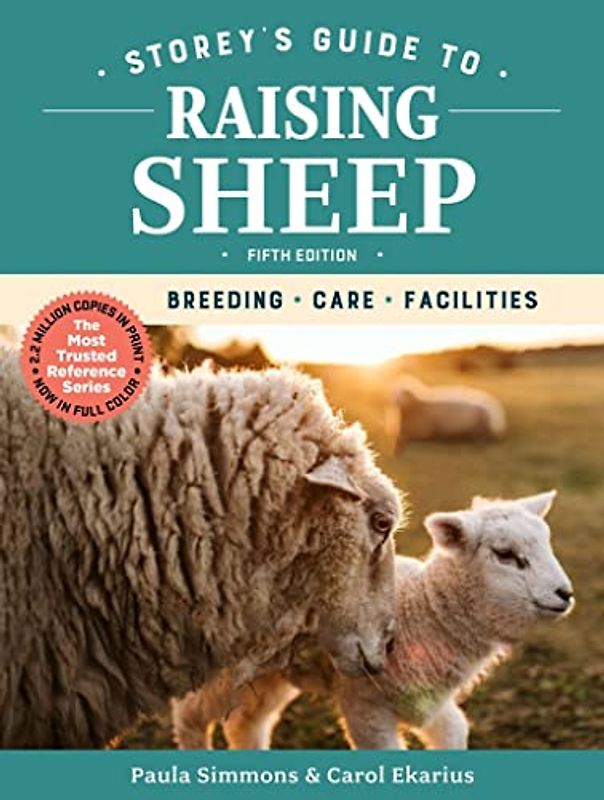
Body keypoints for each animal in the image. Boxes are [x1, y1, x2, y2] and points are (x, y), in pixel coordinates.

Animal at [174, 491, 574, 750]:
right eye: (504, 554)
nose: (564, 594)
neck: (423, 610)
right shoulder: (365, 704)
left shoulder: (430, 702)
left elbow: (455, 733)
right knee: (190, 716)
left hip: (271, 674)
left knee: (245, 725)